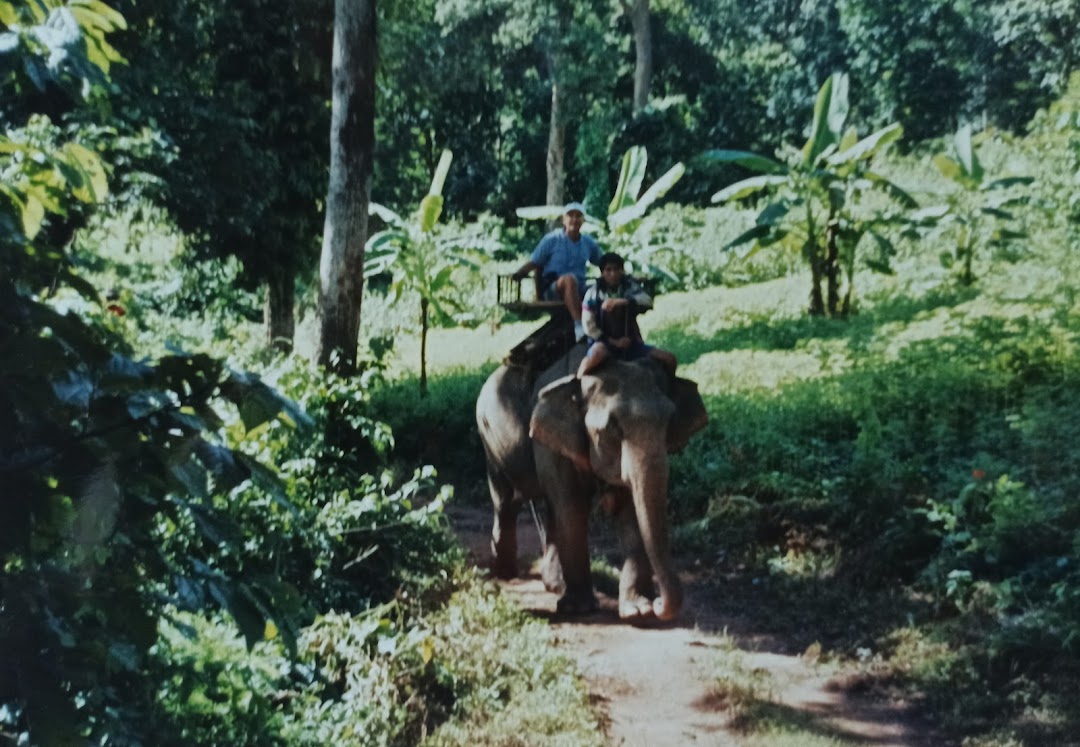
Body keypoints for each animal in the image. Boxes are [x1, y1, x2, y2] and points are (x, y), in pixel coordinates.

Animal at [475, 345, 708, 626]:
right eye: (612, 428)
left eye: (669, 420)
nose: (660, 603)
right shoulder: (549, 439)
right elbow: (573, 506)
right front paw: (579, 609)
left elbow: (629, 509)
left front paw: (639, 610)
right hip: (489, 436)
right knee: (506, 501)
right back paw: (505, 572)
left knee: (549, 508)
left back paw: (554, 585)